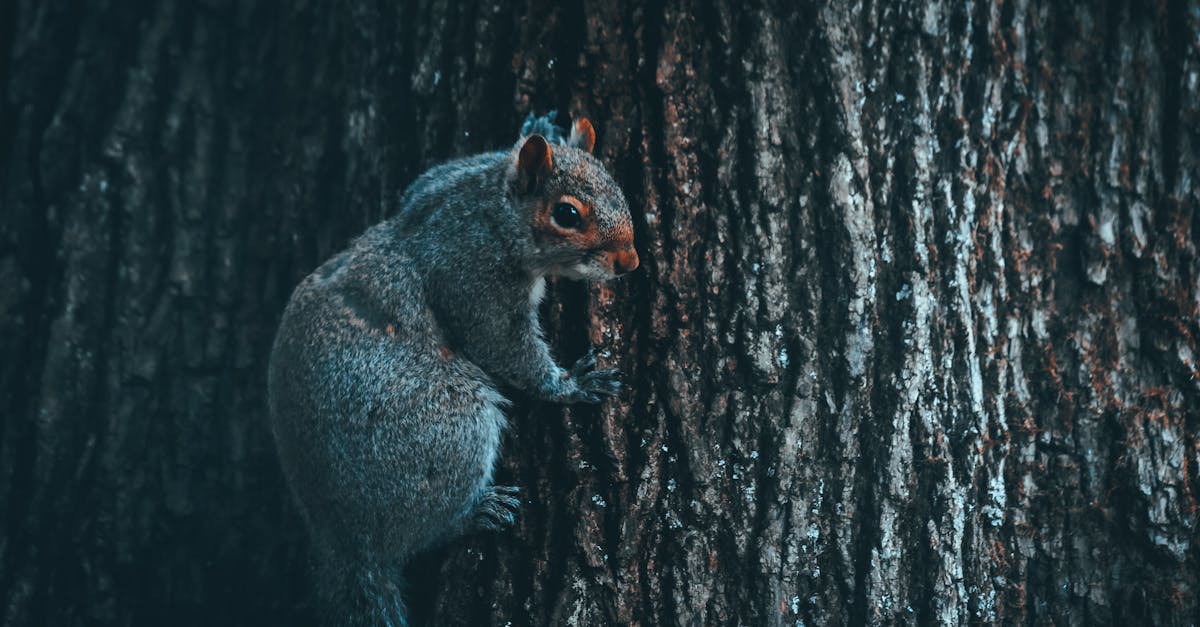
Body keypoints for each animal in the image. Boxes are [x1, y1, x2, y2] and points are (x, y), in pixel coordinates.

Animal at [268, 113, 643, 624]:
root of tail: (347, 540)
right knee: (423, 531)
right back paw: (473, 513)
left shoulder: (437, 181)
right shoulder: (474, 281)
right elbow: (503, 346)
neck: (488, 210)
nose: (630, 261)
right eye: (567, 215)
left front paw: (539, 125)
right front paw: (570, 385)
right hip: (448, 428)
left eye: (618, 187)